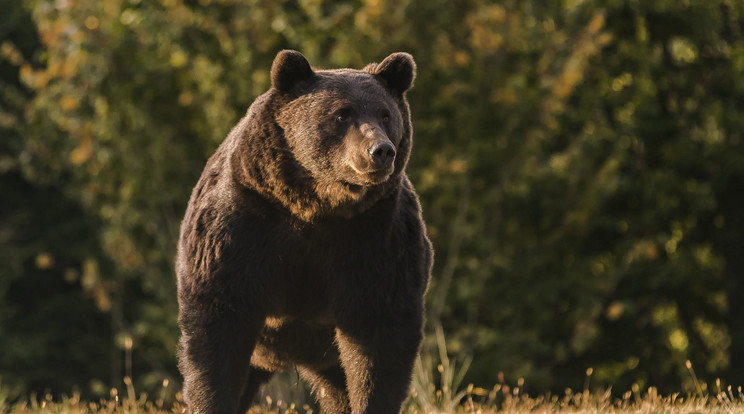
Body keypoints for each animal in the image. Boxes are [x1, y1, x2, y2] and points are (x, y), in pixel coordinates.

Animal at [177, 51, 434, 414]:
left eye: (386, 114)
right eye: (341, 113)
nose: (381, 150)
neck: (316, 206)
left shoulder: (378, 239)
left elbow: (379, 342)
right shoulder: (240, 229)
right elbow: (217, 332)